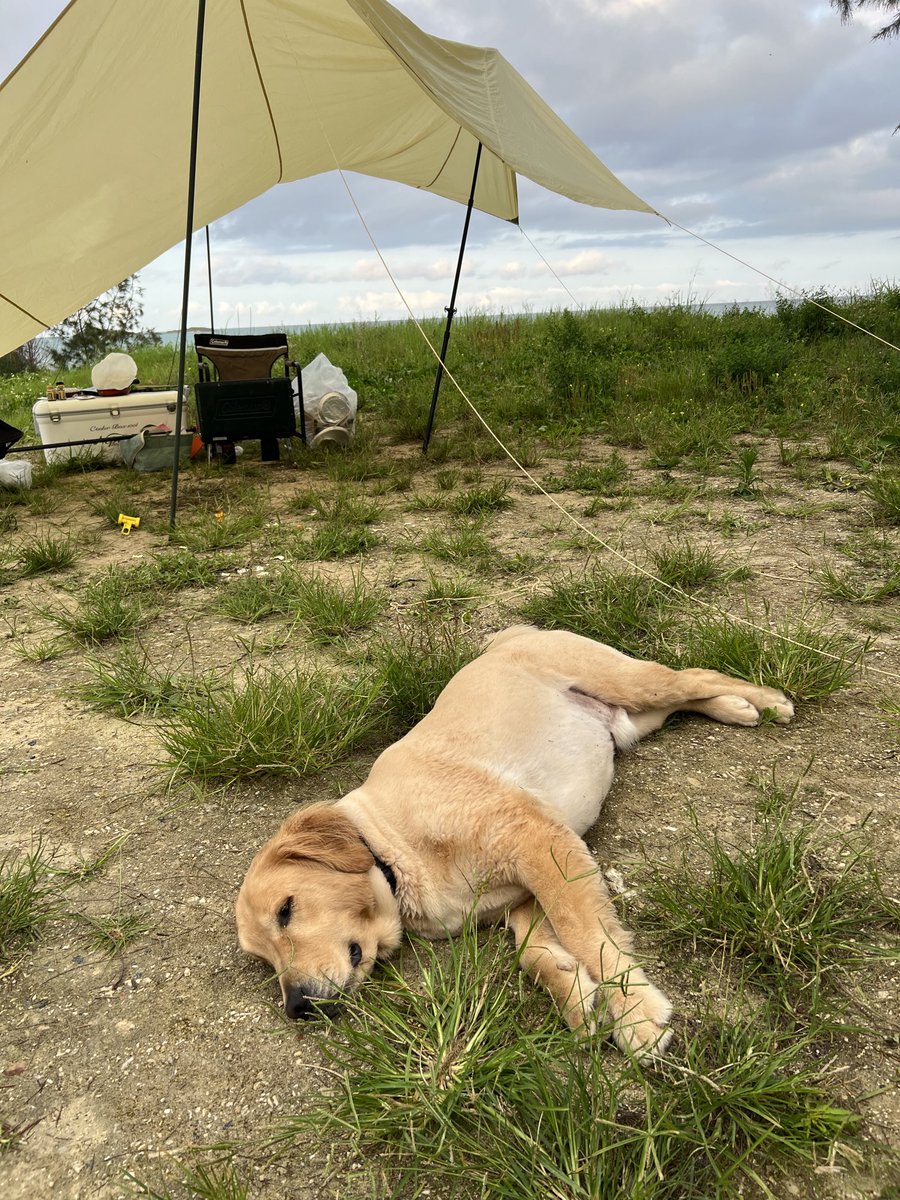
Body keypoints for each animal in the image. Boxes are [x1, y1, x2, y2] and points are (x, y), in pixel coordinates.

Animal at [236, 624, 792, 1056]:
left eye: (286, 910)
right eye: (262, 959)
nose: (296, 1006)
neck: (391, 852)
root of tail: (513, 635)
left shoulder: (537, 843)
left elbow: (586, 935)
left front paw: (633, 1011)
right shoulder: (526, 888)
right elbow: (537, 952)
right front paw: (578, 999)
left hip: (631, 683)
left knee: (694, 675)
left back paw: (768, 700)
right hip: (634, 719)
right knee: (690, 695)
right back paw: (736, 707)